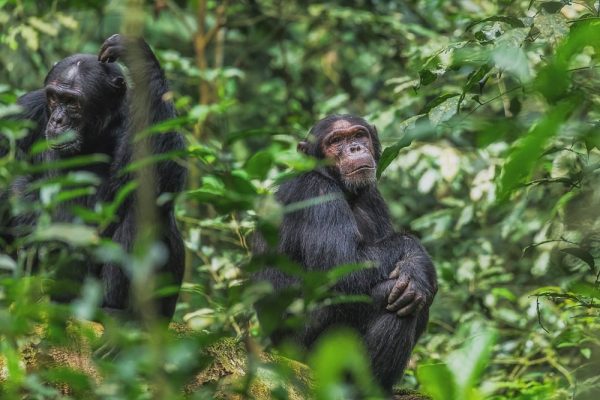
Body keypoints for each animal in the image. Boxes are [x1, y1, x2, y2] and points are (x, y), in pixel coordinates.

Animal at [1, 34, 185, 322]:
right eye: (53, 98)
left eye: (73, 103)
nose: (57, 120)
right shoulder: (22, 112)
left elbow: (165, 173)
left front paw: (141, 60)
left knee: (146, 206)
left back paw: (125, 315)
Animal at [253, 114, 436, 392]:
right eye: (336, 141)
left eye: (359, 135)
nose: (355, 148)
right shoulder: (317, 193)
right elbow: (342, 264)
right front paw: (417, 255)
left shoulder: (373, 196)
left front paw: (415, 266)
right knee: (396, 295)